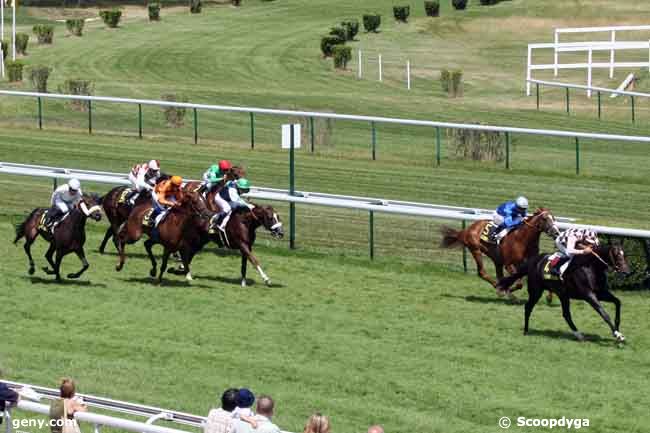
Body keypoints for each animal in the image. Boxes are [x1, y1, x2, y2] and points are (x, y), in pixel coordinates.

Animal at [496, 243, 628, 340]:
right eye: (616, 254)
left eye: (624, 254)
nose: (627, 271)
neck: (590, 267)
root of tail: (534, 261)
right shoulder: (588, 295)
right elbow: (604, 313)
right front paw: (618, 335)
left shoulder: (600, 293)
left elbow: (618, 302)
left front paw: (616, 329)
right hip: (536, 291)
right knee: (528, 307)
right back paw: (526, 330)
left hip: (563, 294)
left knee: (566, 314)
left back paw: (578, 335)